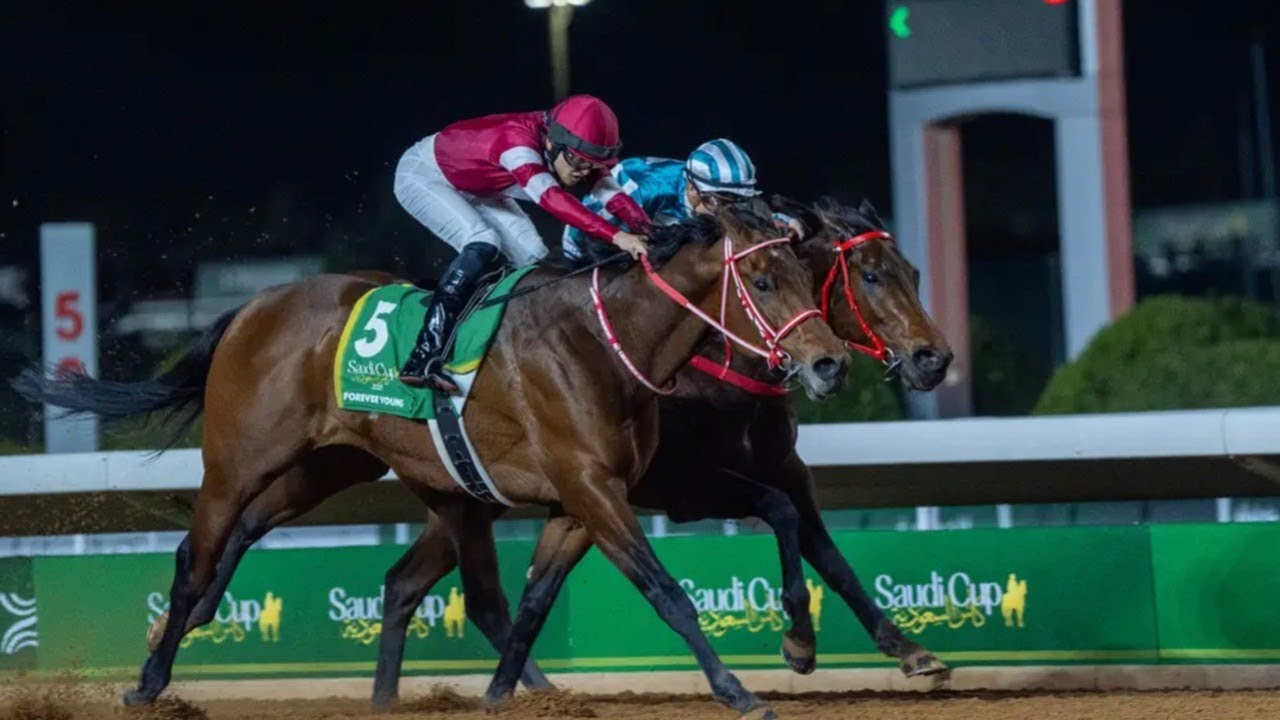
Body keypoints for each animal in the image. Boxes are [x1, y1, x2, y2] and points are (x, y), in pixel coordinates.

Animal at [14, 205, 849, 717]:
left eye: (809, 278)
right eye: (764, 280)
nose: (830, 365)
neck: (605, 345)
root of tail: (253, 306)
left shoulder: (582, 500)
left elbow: (533, 601)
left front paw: (502, 693)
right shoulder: (597, 487)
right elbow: (667, 592)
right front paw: (739, 688)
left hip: (337, 466)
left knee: (269, 539)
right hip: (238, 458)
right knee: (197, 549)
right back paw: (151, 678)